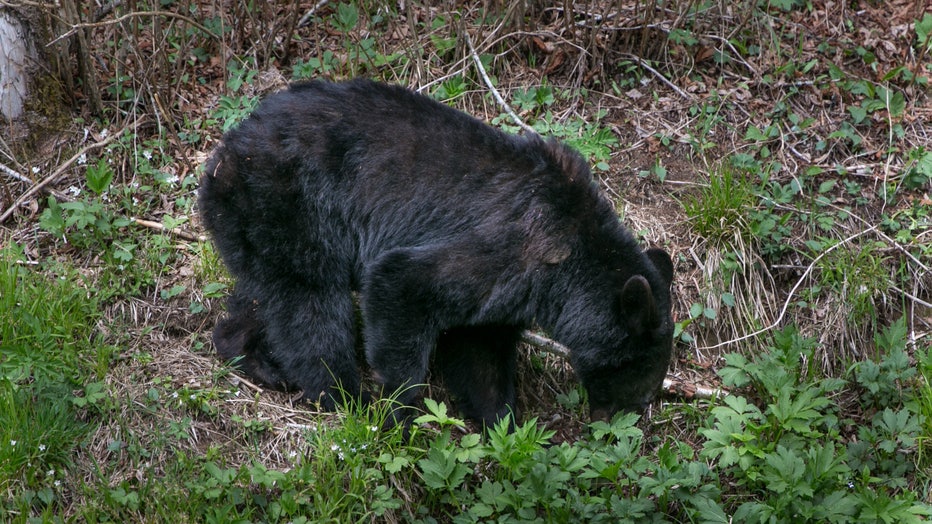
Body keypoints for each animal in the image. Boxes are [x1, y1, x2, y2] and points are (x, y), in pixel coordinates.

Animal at [200, 79, 672, 426]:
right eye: (644, 381)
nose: (623, 418)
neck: (570, 264)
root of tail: (225, 150)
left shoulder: (509, 291)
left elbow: (479, 347)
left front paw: (500, 422)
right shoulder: (514, 247)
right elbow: (402, 282)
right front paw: (401, 410)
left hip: (254, 223)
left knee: (264, 294)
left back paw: (251, 354)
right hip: (291, 204)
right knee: (310, 305)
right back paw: (343, 394)